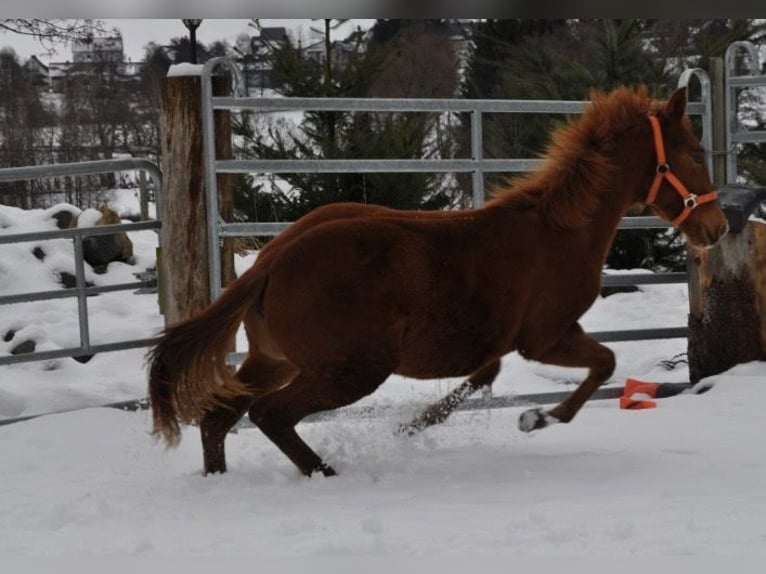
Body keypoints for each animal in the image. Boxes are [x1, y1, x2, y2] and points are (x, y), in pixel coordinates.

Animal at [148, 86, 729, 477]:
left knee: (219, 416)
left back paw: (221, 478)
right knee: (269, 415)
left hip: (273, 359)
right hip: (351, 369)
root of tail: (272, 260)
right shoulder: (545, 337)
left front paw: (414, 425)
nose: (717, 227)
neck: (560, 230)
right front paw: (537, 418)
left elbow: (482, 379)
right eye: (695, 154)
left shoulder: (502, 343)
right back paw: (324, 472)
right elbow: (602, 363)